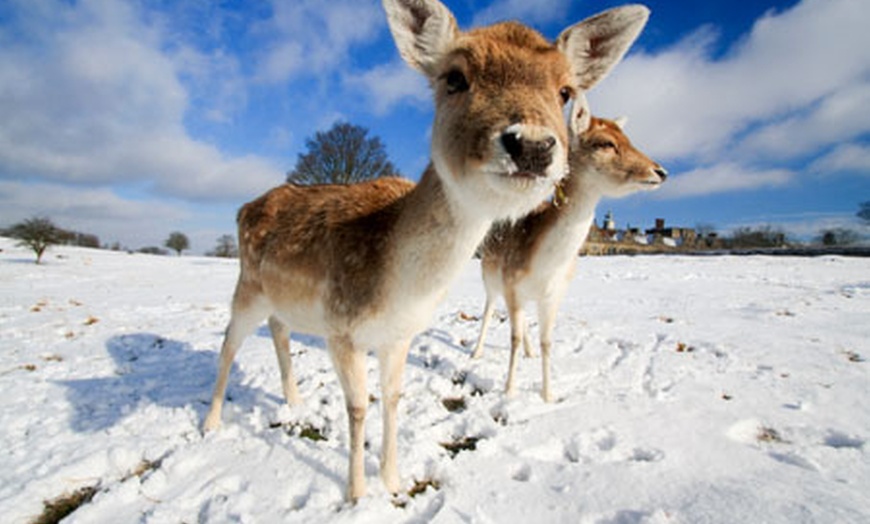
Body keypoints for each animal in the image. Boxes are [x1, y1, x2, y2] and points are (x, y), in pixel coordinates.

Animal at [470, 105, 668, 406]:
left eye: (628, 138)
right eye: (605, 143)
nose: (660, 171)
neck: (545, 267)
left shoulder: (554, 294)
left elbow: (546, 341)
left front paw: (548, 395)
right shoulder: (512, 285)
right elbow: (512, 337)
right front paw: (509, 391)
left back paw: (529, 352)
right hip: (490, 277)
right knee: (489, 309)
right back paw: (476, 352)